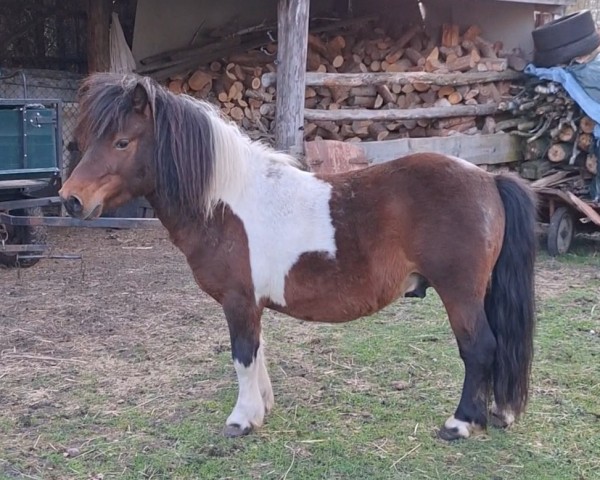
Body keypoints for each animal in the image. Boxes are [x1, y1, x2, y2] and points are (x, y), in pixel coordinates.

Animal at [61, 73, 536, 440]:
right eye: (84, 141)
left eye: (122, 142)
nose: (71, 199)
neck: (226, 202)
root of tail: (488, 179)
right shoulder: (252, 303)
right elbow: (258, 352)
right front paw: (262, 408)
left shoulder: (239, 301)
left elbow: (242, 355)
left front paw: (242, 419)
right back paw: (498, 412)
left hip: (460, 293)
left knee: (480, 348)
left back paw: (460, 424)